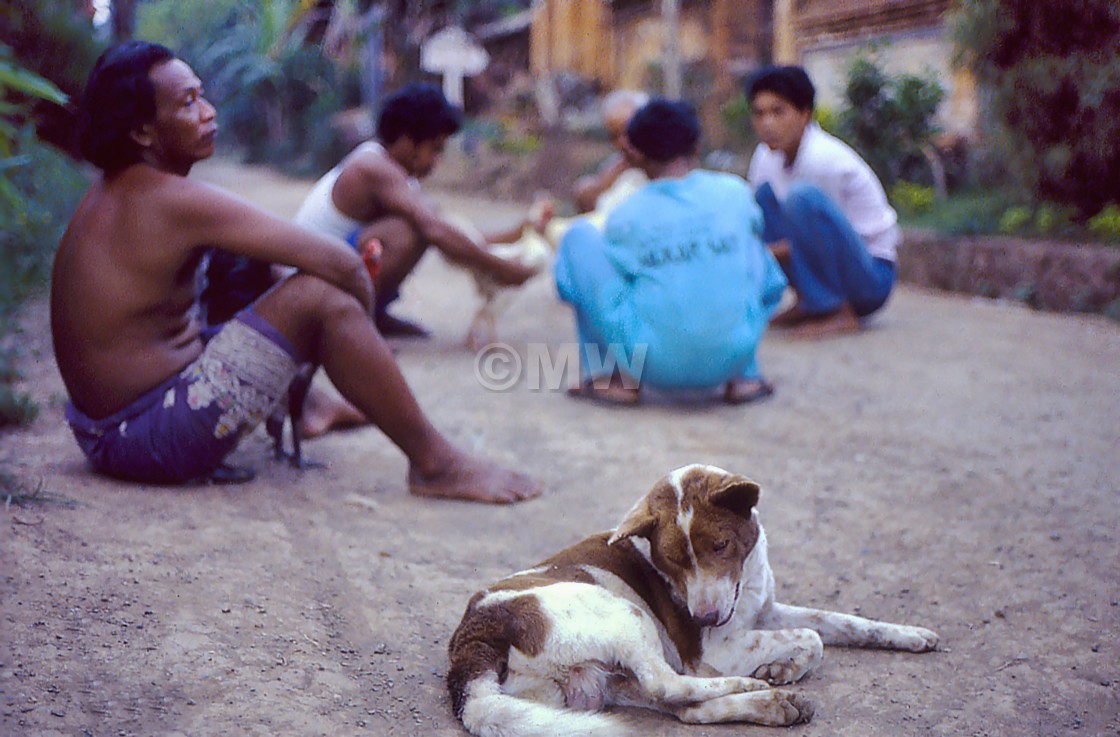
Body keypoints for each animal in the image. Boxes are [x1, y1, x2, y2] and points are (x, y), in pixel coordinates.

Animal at [443, 461, 936, 730]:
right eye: (674, 560)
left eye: (720, 546)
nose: (705, 618)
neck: (744, 582)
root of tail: (471, 651)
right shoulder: (712, 648)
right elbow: (813, 639)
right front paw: (783, 667)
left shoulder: (765, 612)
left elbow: (843, 622)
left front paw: (911, 635)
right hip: (625, 615)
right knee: (671, 683)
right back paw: (753, 687)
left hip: (605, 680)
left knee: (684, 709)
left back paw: (773, 706)